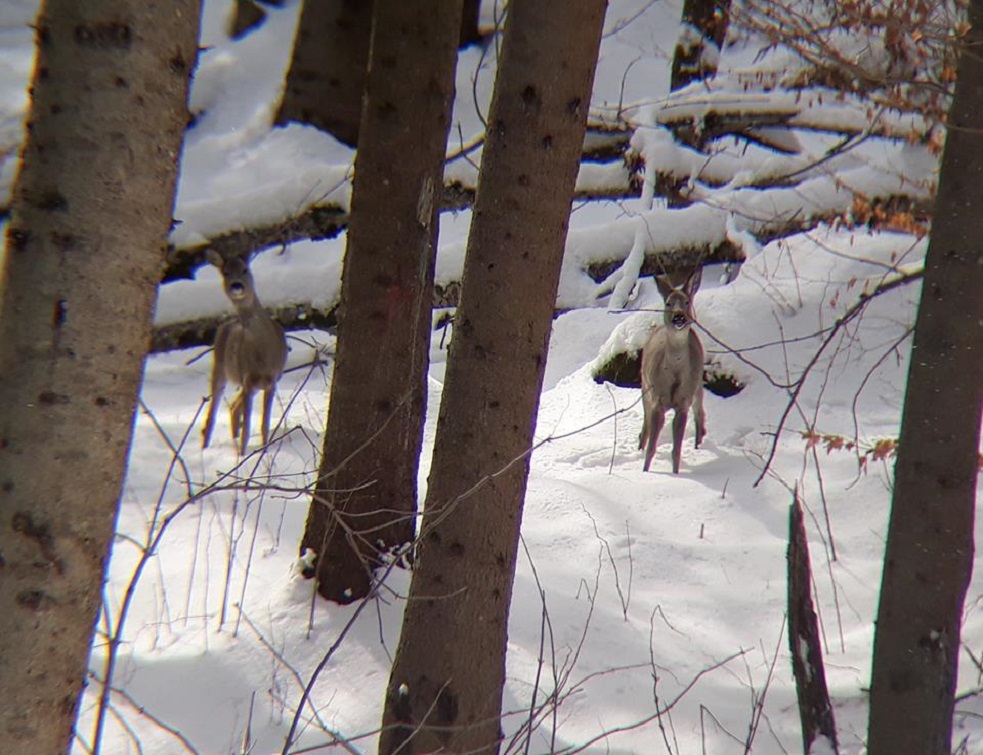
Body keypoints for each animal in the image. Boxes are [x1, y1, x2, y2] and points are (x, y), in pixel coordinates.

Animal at [201, 250, 288, 455]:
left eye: (245, 269)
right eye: (225, 273)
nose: (236, 285)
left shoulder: (272, 380)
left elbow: (264, 424)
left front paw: (264, 452)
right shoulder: (247, 380)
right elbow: (247, 427)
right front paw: (243, 455)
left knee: (233, 407)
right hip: (220, 368)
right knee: (213, 414)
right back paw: (205, 449)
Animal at [639, 267, 706, 474]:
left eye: (687, 301)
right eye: (668, 302)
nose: (678, 317)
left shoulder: (683, 402)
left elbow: (676, 450)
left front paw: (675, 474)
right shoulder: (657, 401)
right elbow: (652, 448)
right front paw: (644, 472)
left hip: (698, 385)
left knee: (700, 412)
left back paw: (699, 444)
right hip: (644, 387)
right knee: (645, 424)